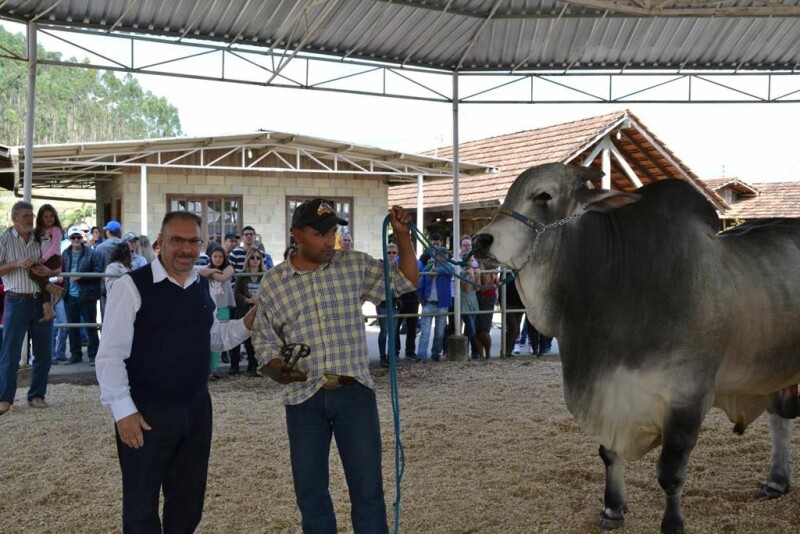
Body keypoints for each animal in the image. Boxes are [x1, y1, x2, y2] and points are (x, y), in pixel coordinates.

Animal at [472, 163, 800, 534]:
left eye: (543, 195)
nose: (480, 240)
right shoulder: (610, 394)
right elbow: (609, 453)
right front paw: (612, 509)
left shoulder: (686, 398)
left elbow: (670, 473)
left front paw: (672, 524)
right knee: (780, 416)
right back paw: (776, 481)